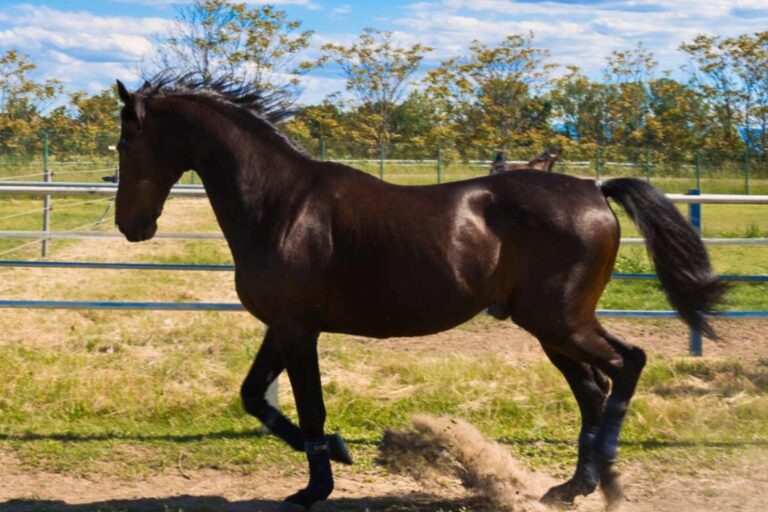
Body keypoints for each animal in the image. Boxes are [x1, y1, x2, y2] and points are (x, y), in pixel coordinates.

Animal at [113, 78, 726, 510]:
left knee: (627, 364)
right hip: (553, 328)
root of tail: (594, 188)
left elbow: (309, 408)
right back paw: (577, 487)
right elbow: (254, 396)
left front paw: (316, 486)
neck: (281, 207)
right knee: (593, 389)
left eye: (126, 143)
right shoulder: (283, 327)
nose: (129, 225)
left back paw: (605, 477)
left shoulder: (297, 330)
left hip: (560, 321)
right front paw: (339, 452)